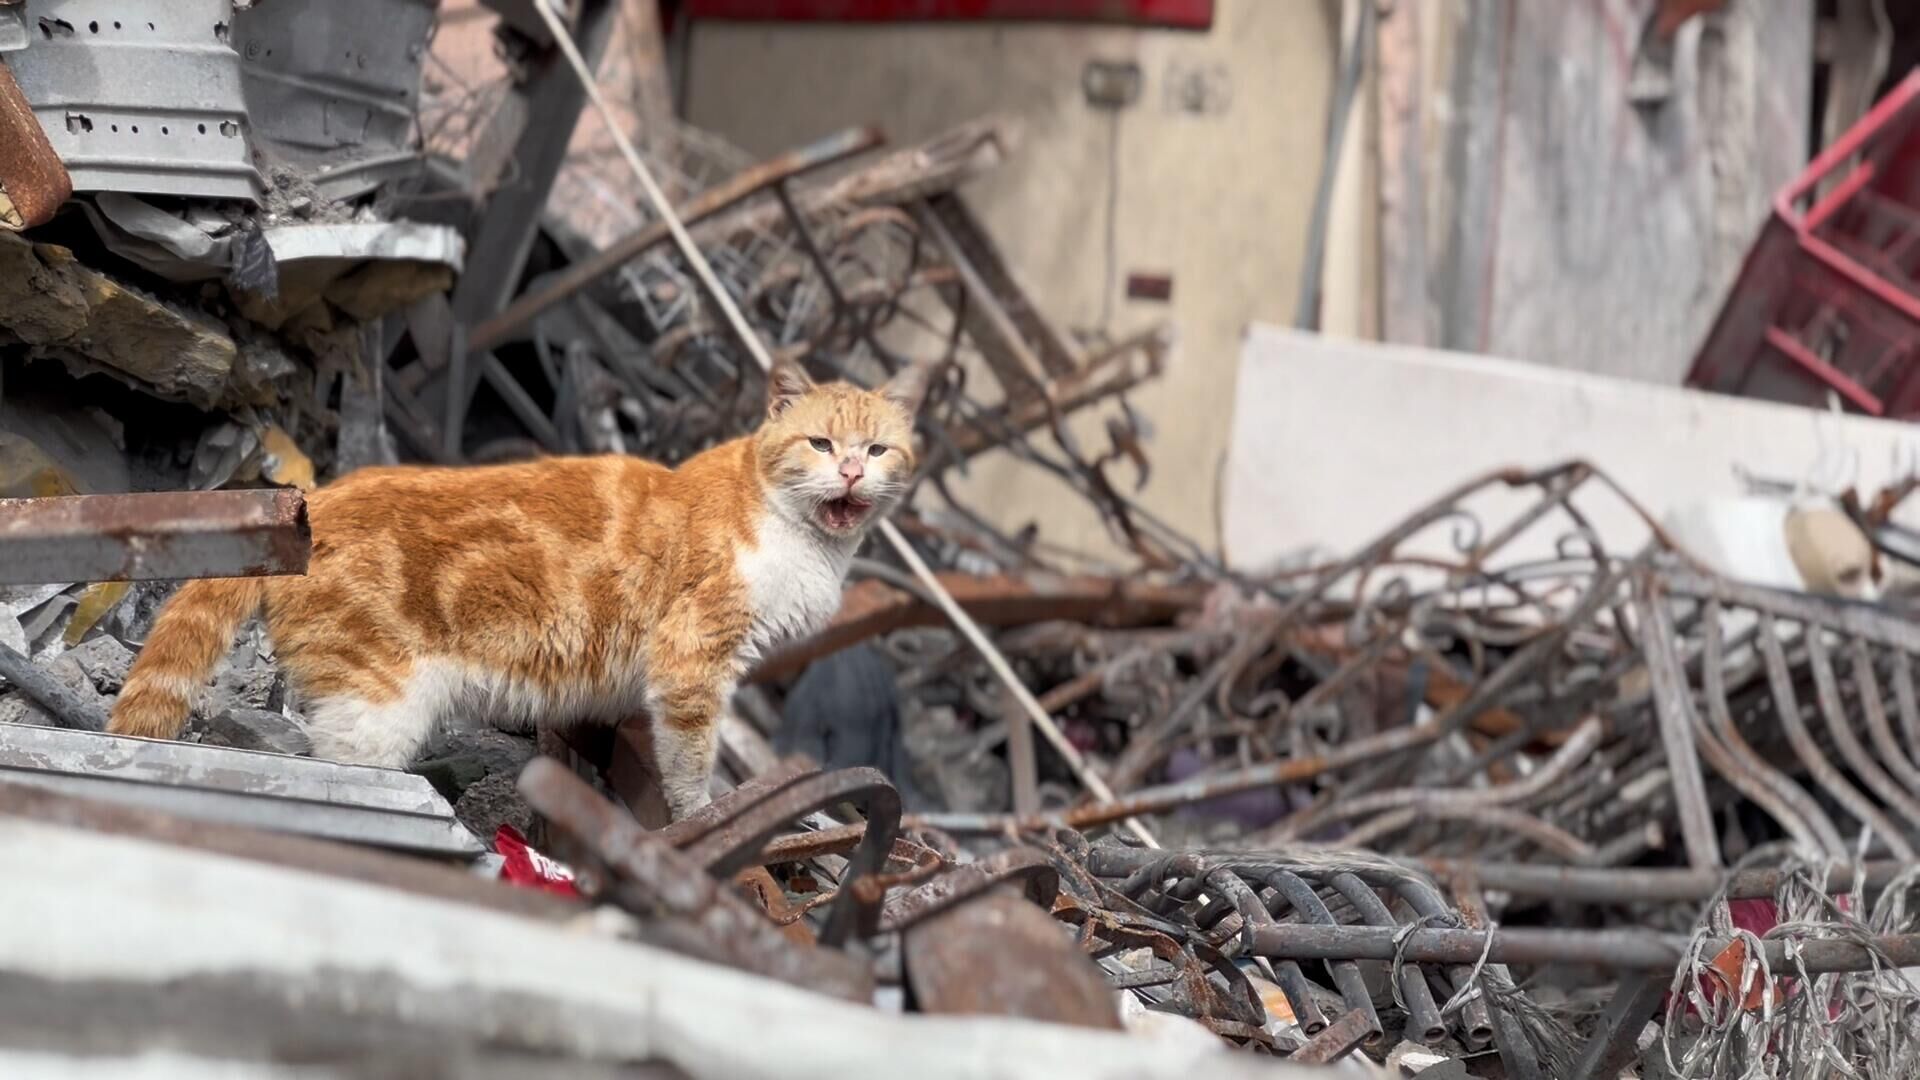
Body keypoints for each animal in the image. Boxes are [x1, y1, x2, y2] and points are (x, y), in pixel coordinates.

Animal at [112, 357, 936, 810]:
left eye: (877, 449)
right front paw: (702, 812)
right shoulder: (694, 662)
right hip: (376, 712)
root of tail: (314, 501)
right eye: (820, 443)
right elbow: (690, 764)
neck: (803, 541)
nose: (851, 471)